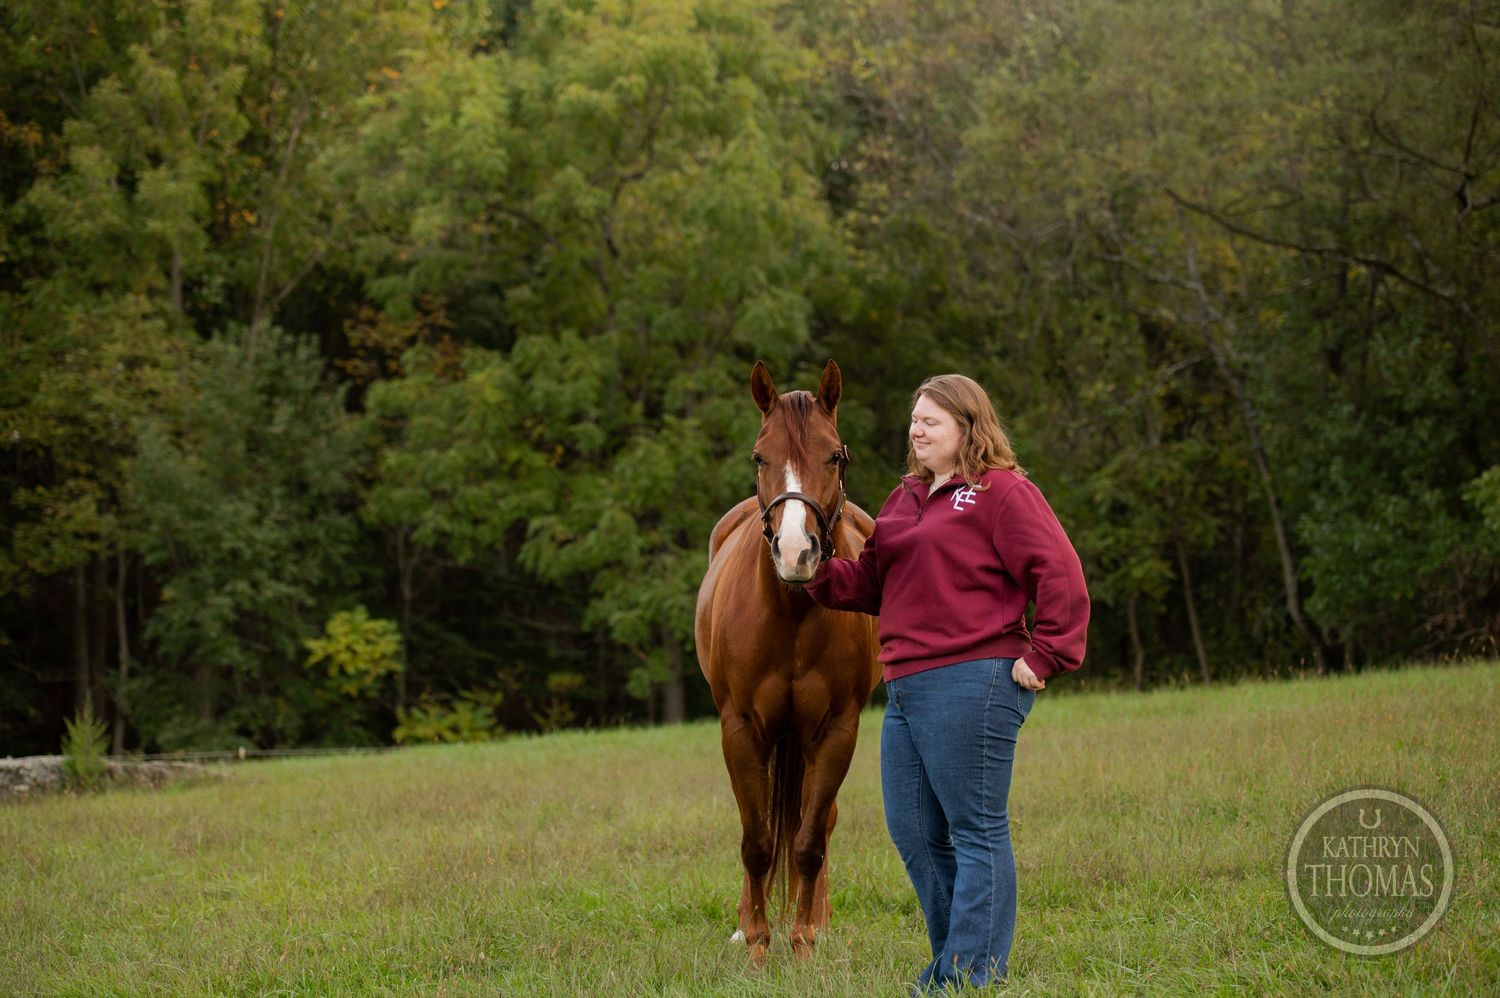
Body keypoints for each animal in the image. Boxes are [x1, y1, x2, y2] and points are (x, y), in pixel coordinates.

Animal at [695, 359, 881, 963]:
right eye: (759, 456)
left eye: (835, 456)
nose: (796, 553)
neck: (792, 615)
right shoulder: (740, 728)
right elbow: (756, 840)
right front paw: (756, 940)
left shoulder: (837, 731)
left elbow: (807, 841)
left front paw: (802, 938)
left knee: (815, 823)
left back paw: (816, 918)